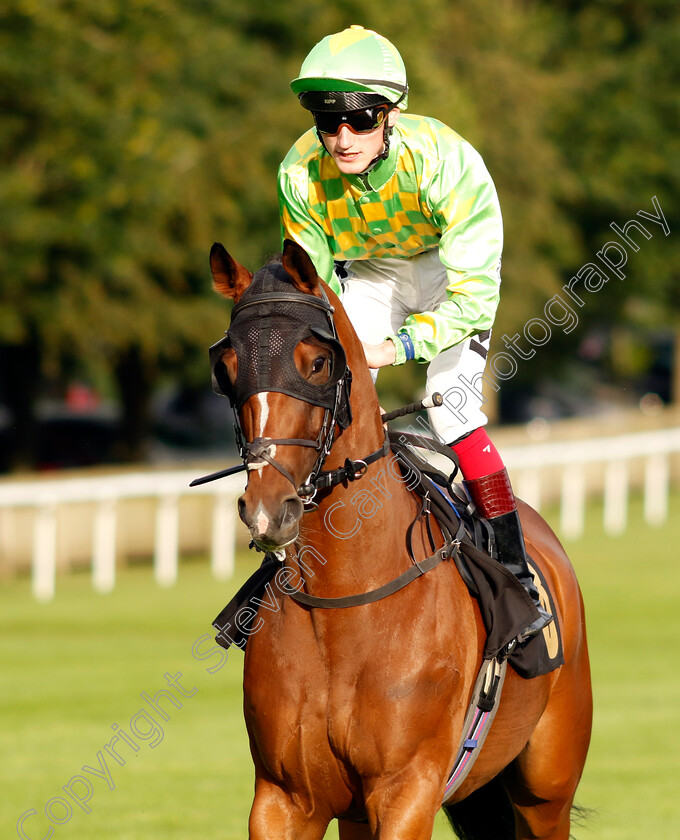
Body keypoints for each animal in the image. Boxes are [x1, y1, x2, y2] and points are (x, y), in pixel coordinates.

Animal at [206, 238, 588, 840]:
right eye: (227, 368)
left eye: (317, 362)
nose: (268, 507)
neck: (344, 602)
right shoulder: (283, 799)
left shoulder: (407, 790)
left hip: (547, 787)